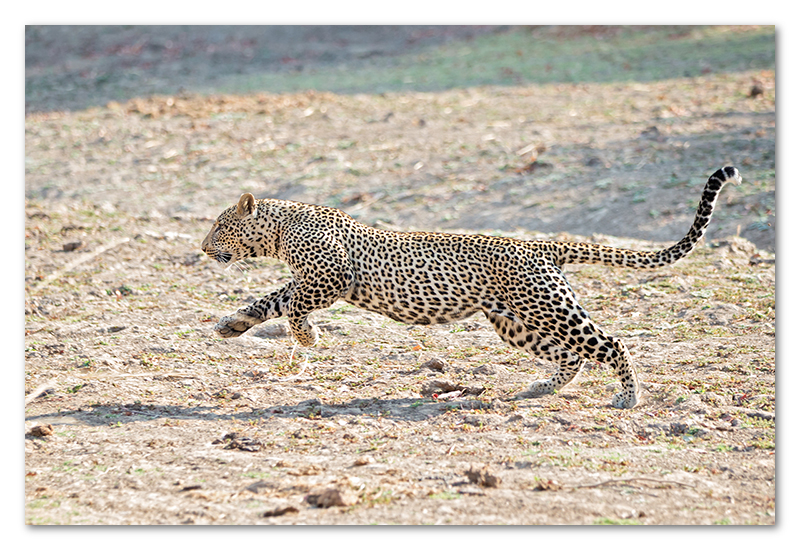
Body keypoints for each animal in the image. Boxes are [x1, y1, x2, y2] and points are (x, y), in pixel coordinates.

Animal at [203, 167, 740, 410]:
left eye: (220, 226)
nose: (204, 248)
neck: (281, 229)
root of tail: (542, 245)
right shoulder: (308, 279)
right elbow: (270, 300)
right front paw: (231, 325)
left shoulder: (330, 279)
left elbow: (293, 305)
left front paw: (307, 337)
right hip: (514, 321)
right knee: (571, 357)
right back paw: (535, 389)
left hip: (548, 308)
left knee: (609, 343)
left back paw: (629, 397)